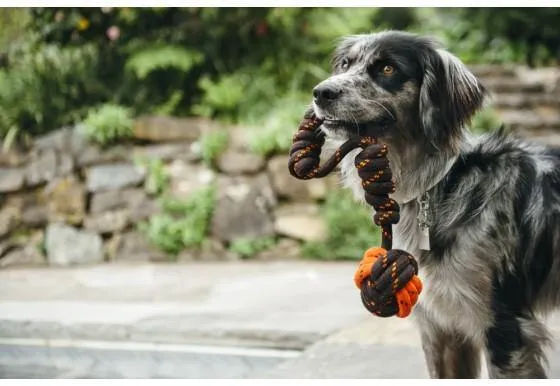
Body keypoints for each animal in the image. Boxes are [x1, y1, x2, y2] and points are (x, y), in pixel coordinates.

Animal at [310, 30, 560, 380]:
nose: (321, 92)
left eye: (387, 68)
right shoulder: (441, 330)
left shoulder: (504, 327)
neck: (441, 186)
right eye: (346, 64)